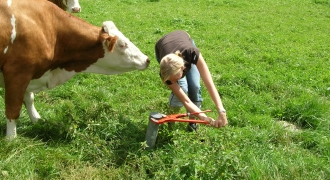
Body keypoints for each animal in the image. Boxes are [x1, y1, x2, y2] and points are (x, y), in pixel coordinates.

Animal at [0, 0, 150, 139]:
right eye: (123, 44)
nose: (147, 59)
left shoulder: (28, 75)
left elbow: (29, 98)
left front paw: (37, 120)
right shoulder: (18, 72)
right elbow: (13, 109)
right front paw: (11, 138)